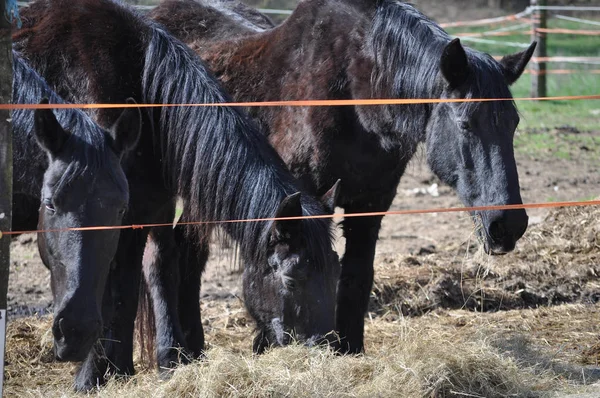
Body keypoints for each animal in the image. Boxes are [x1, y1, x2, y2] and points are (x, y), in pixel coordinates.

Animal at [150, 0, 536, 354]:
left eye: (515, 123)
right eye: (465, 123)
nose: (508, 225)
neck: (353, 93)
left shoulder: (370, 204)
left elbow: (356, 278)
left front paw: (348, 349)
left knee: (187, 249)